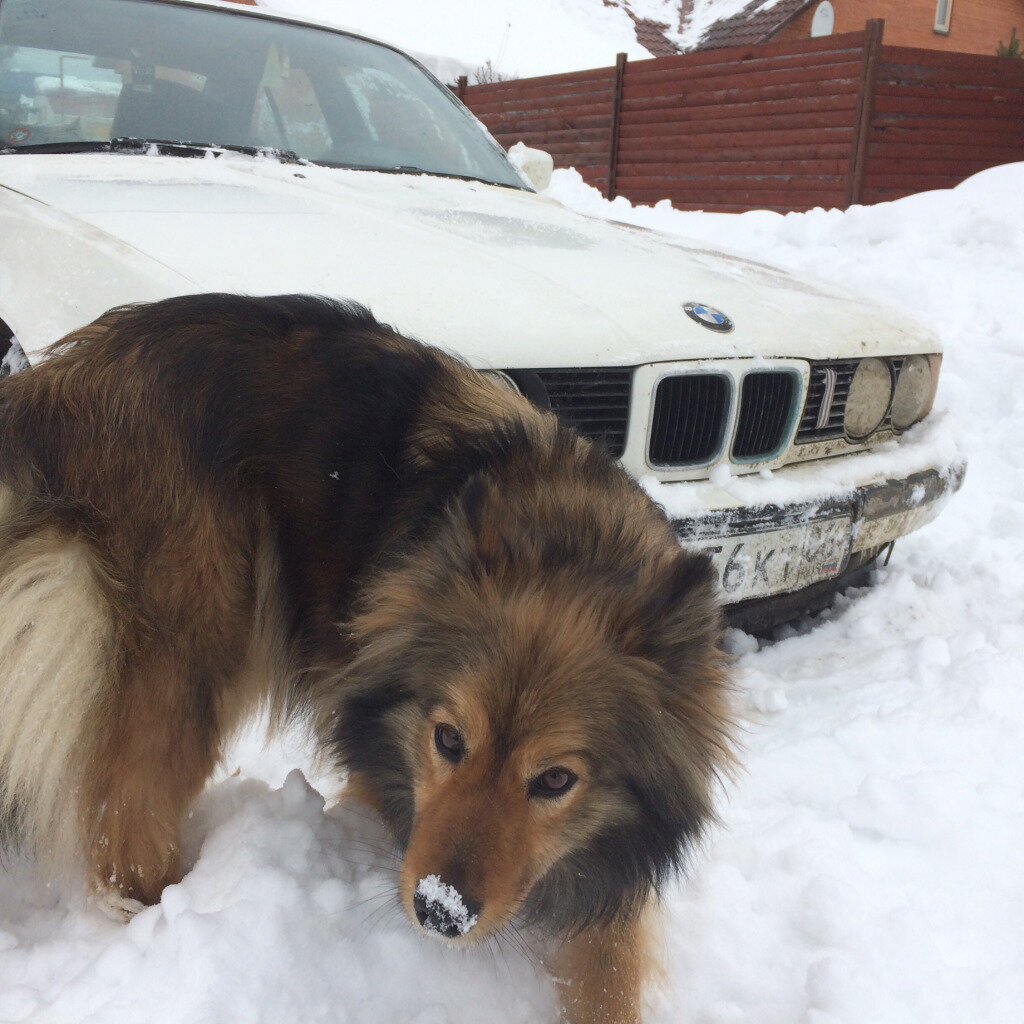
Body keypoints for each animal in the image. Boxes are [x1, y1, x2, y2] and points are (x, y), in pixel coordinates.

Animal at [2, 292, 737, 1019]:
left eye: (556, 780)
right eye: (448, 740)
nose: (440, 911)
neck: (570, 541)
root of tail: (49, 387)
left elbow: (611, 973)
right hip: (196, 644)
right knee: (122, 830)